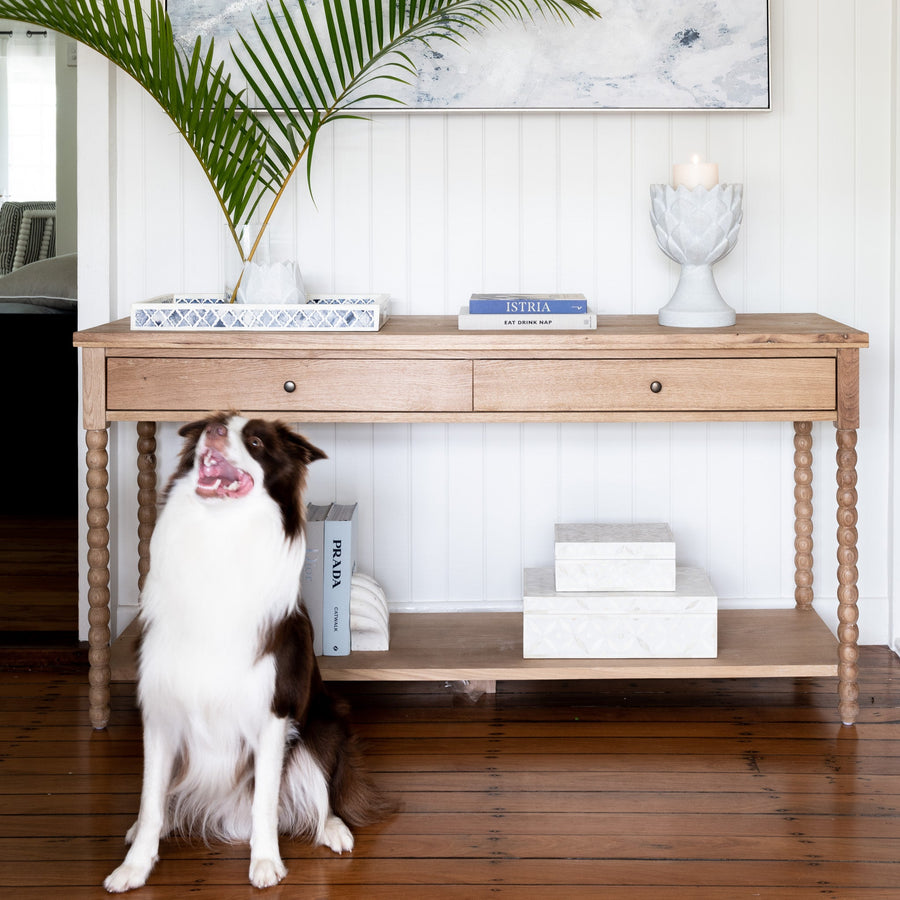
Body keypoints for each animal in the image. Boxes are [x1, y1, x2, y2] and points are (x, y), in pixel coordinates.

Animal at [104, 414, 390, 892]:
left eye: (255, 442)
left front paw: (266, 862)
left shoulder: (272, 711)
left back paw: (333, 829)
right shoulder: (161, 709)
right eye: (211, 425)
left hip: (325, 726)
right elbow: (150, 800)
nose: (215, 431)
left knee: (323, 795)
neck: (219, 536)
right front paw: (134, 866)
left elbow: (265, 802)